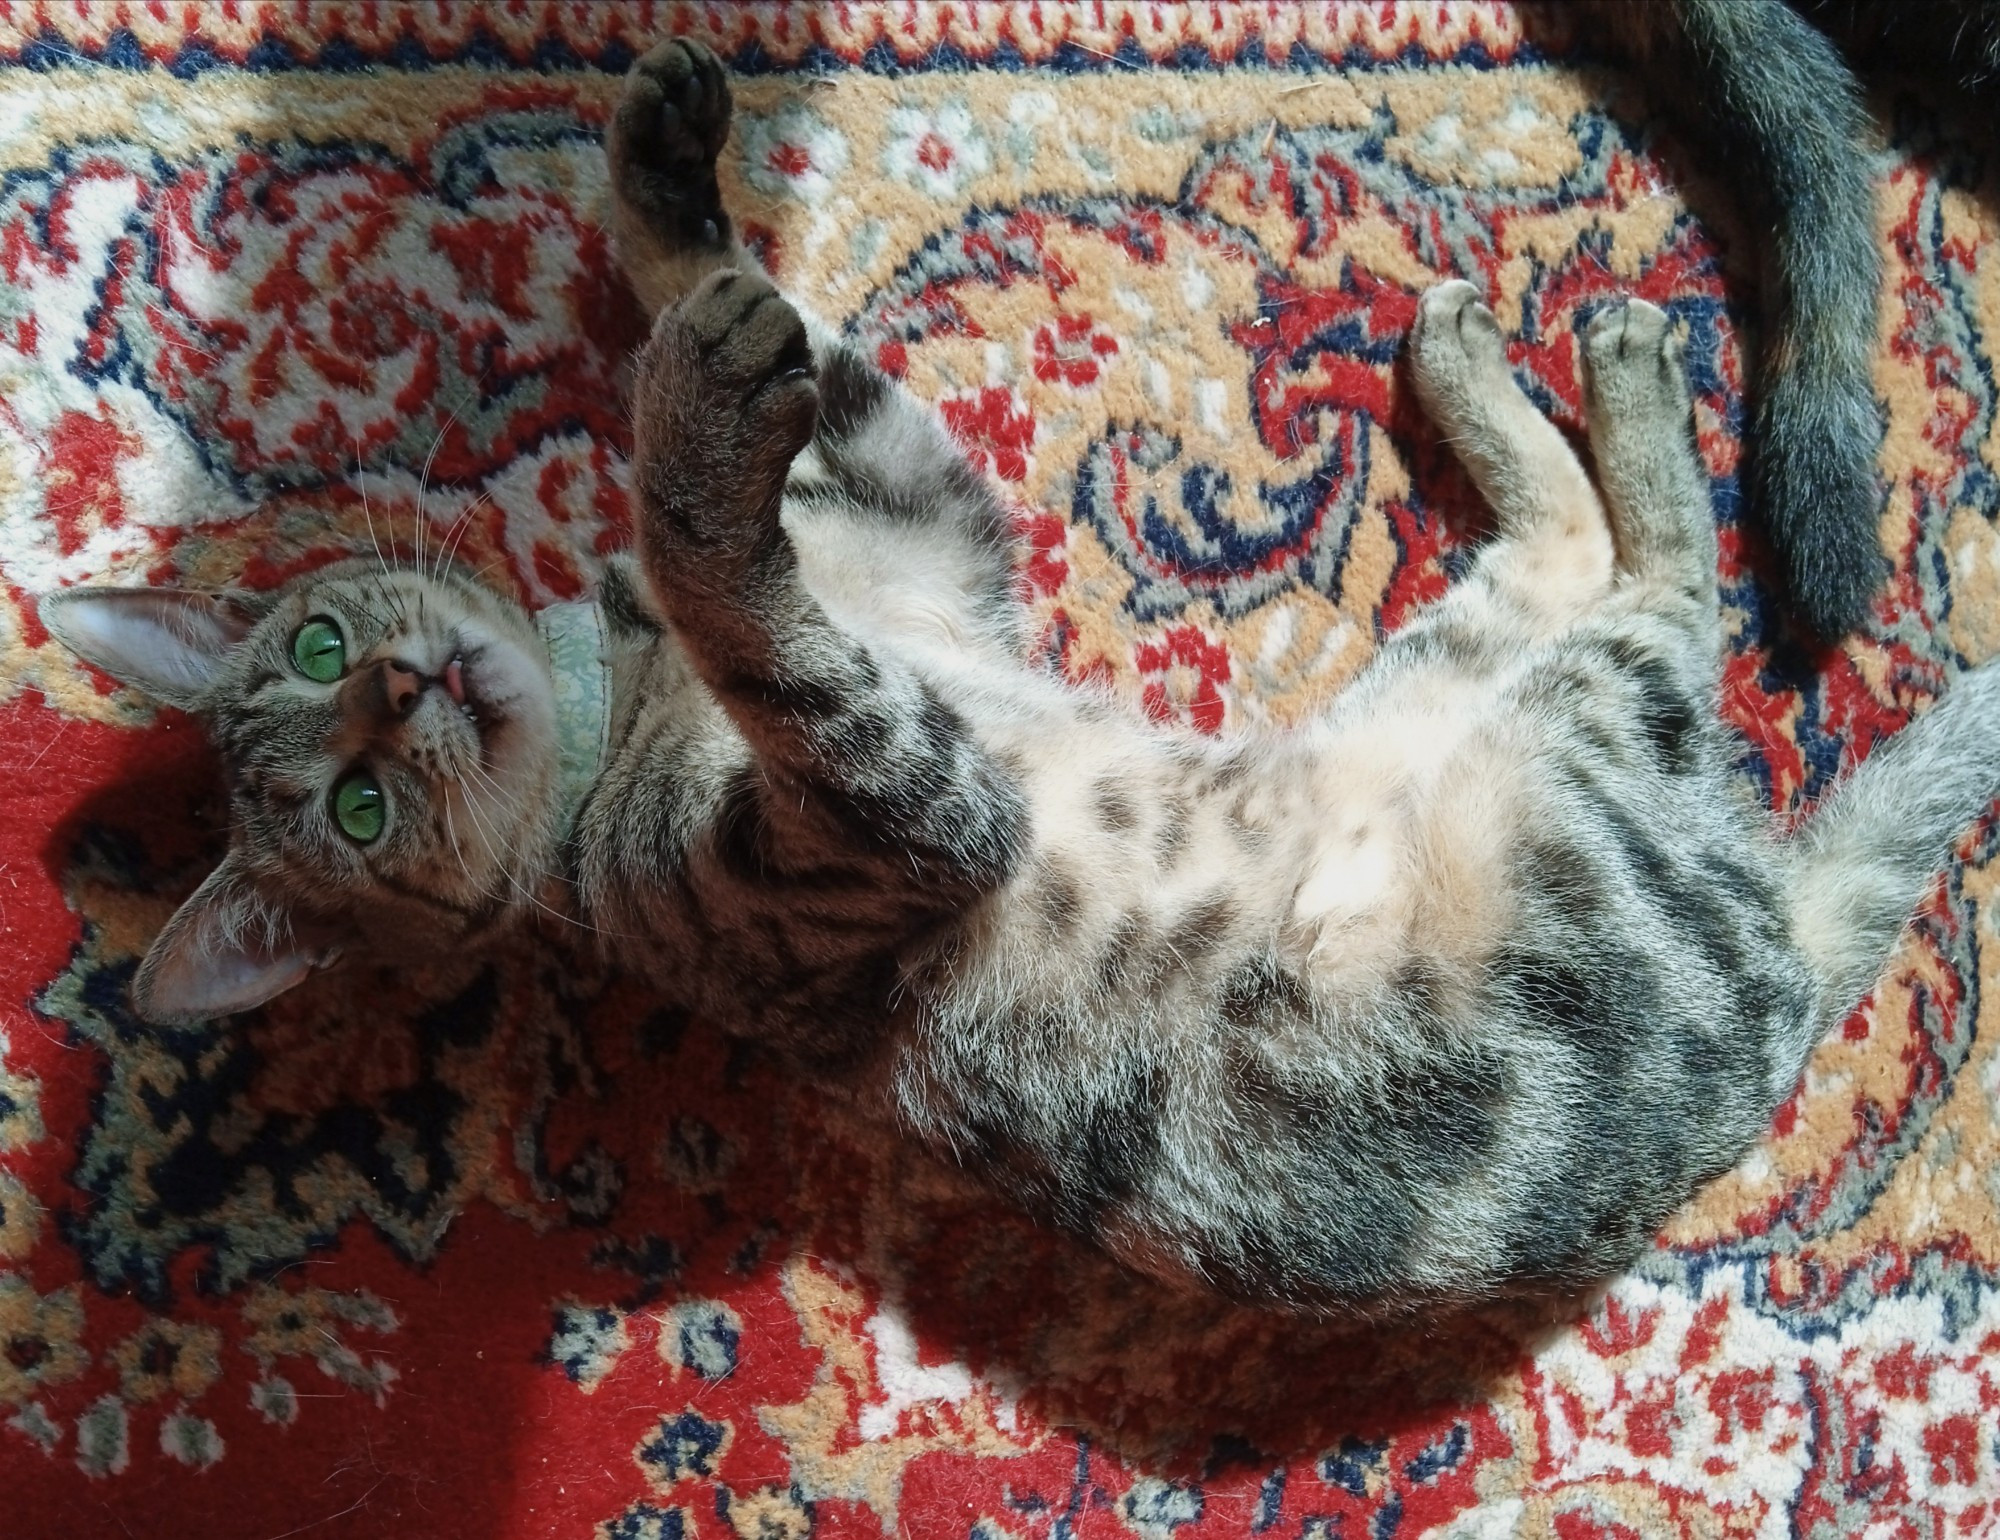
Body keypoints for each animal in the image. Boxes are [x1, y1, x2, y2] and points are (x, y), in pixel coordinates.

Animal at [39, 39, 2000, 1312]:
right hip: (1571, 722)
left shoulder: (918, 505)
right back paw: (1617, 374)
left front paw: (670, 194)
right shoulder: (883, 819)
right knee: (1665, 582)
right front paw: (682, 438)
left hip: (1467, 669)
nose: (406, 694)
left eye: (321, 644)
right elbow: (751, 598)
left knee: (1578, 546)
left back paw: (1480, 361)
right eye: (355, 808)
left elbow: (786, 336)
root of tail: (1783, 968)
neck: (621, 691)